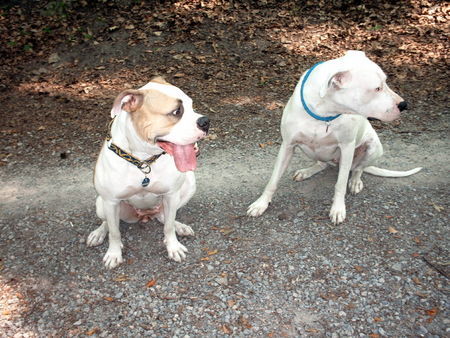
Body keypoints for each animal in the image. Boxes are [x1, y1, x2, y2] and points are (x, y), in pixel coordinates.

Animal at [87, 77, 210, 270]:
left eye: (192, 105)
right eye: (177, 111)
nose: (206, 121)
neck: (144, 161)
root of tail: (145, 215)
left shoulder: (171, 195)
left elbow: (168, 226)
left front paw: (173, 246)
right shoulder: (111, 201)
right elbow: (114, 233)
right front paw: (114, 253)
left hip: (189, 184)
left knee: (165, 217)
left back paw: (179, 226)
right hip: (101, 204)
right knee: (107, 222)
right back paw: (98, 233)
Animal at [250, 50, 422, 224]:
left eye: (385, 82)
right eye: (377, 88)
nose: (404, 105)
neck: (324, 112)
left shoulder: (347, 147)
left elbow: (340, 184)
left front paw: (338, 209)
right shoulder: (287, 146)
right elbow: (272, 181)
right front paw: (261, 203)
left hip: (373, 148)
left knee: (358, 168)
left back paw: (355, 181)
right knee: (323, 164)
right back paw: (307, 171)